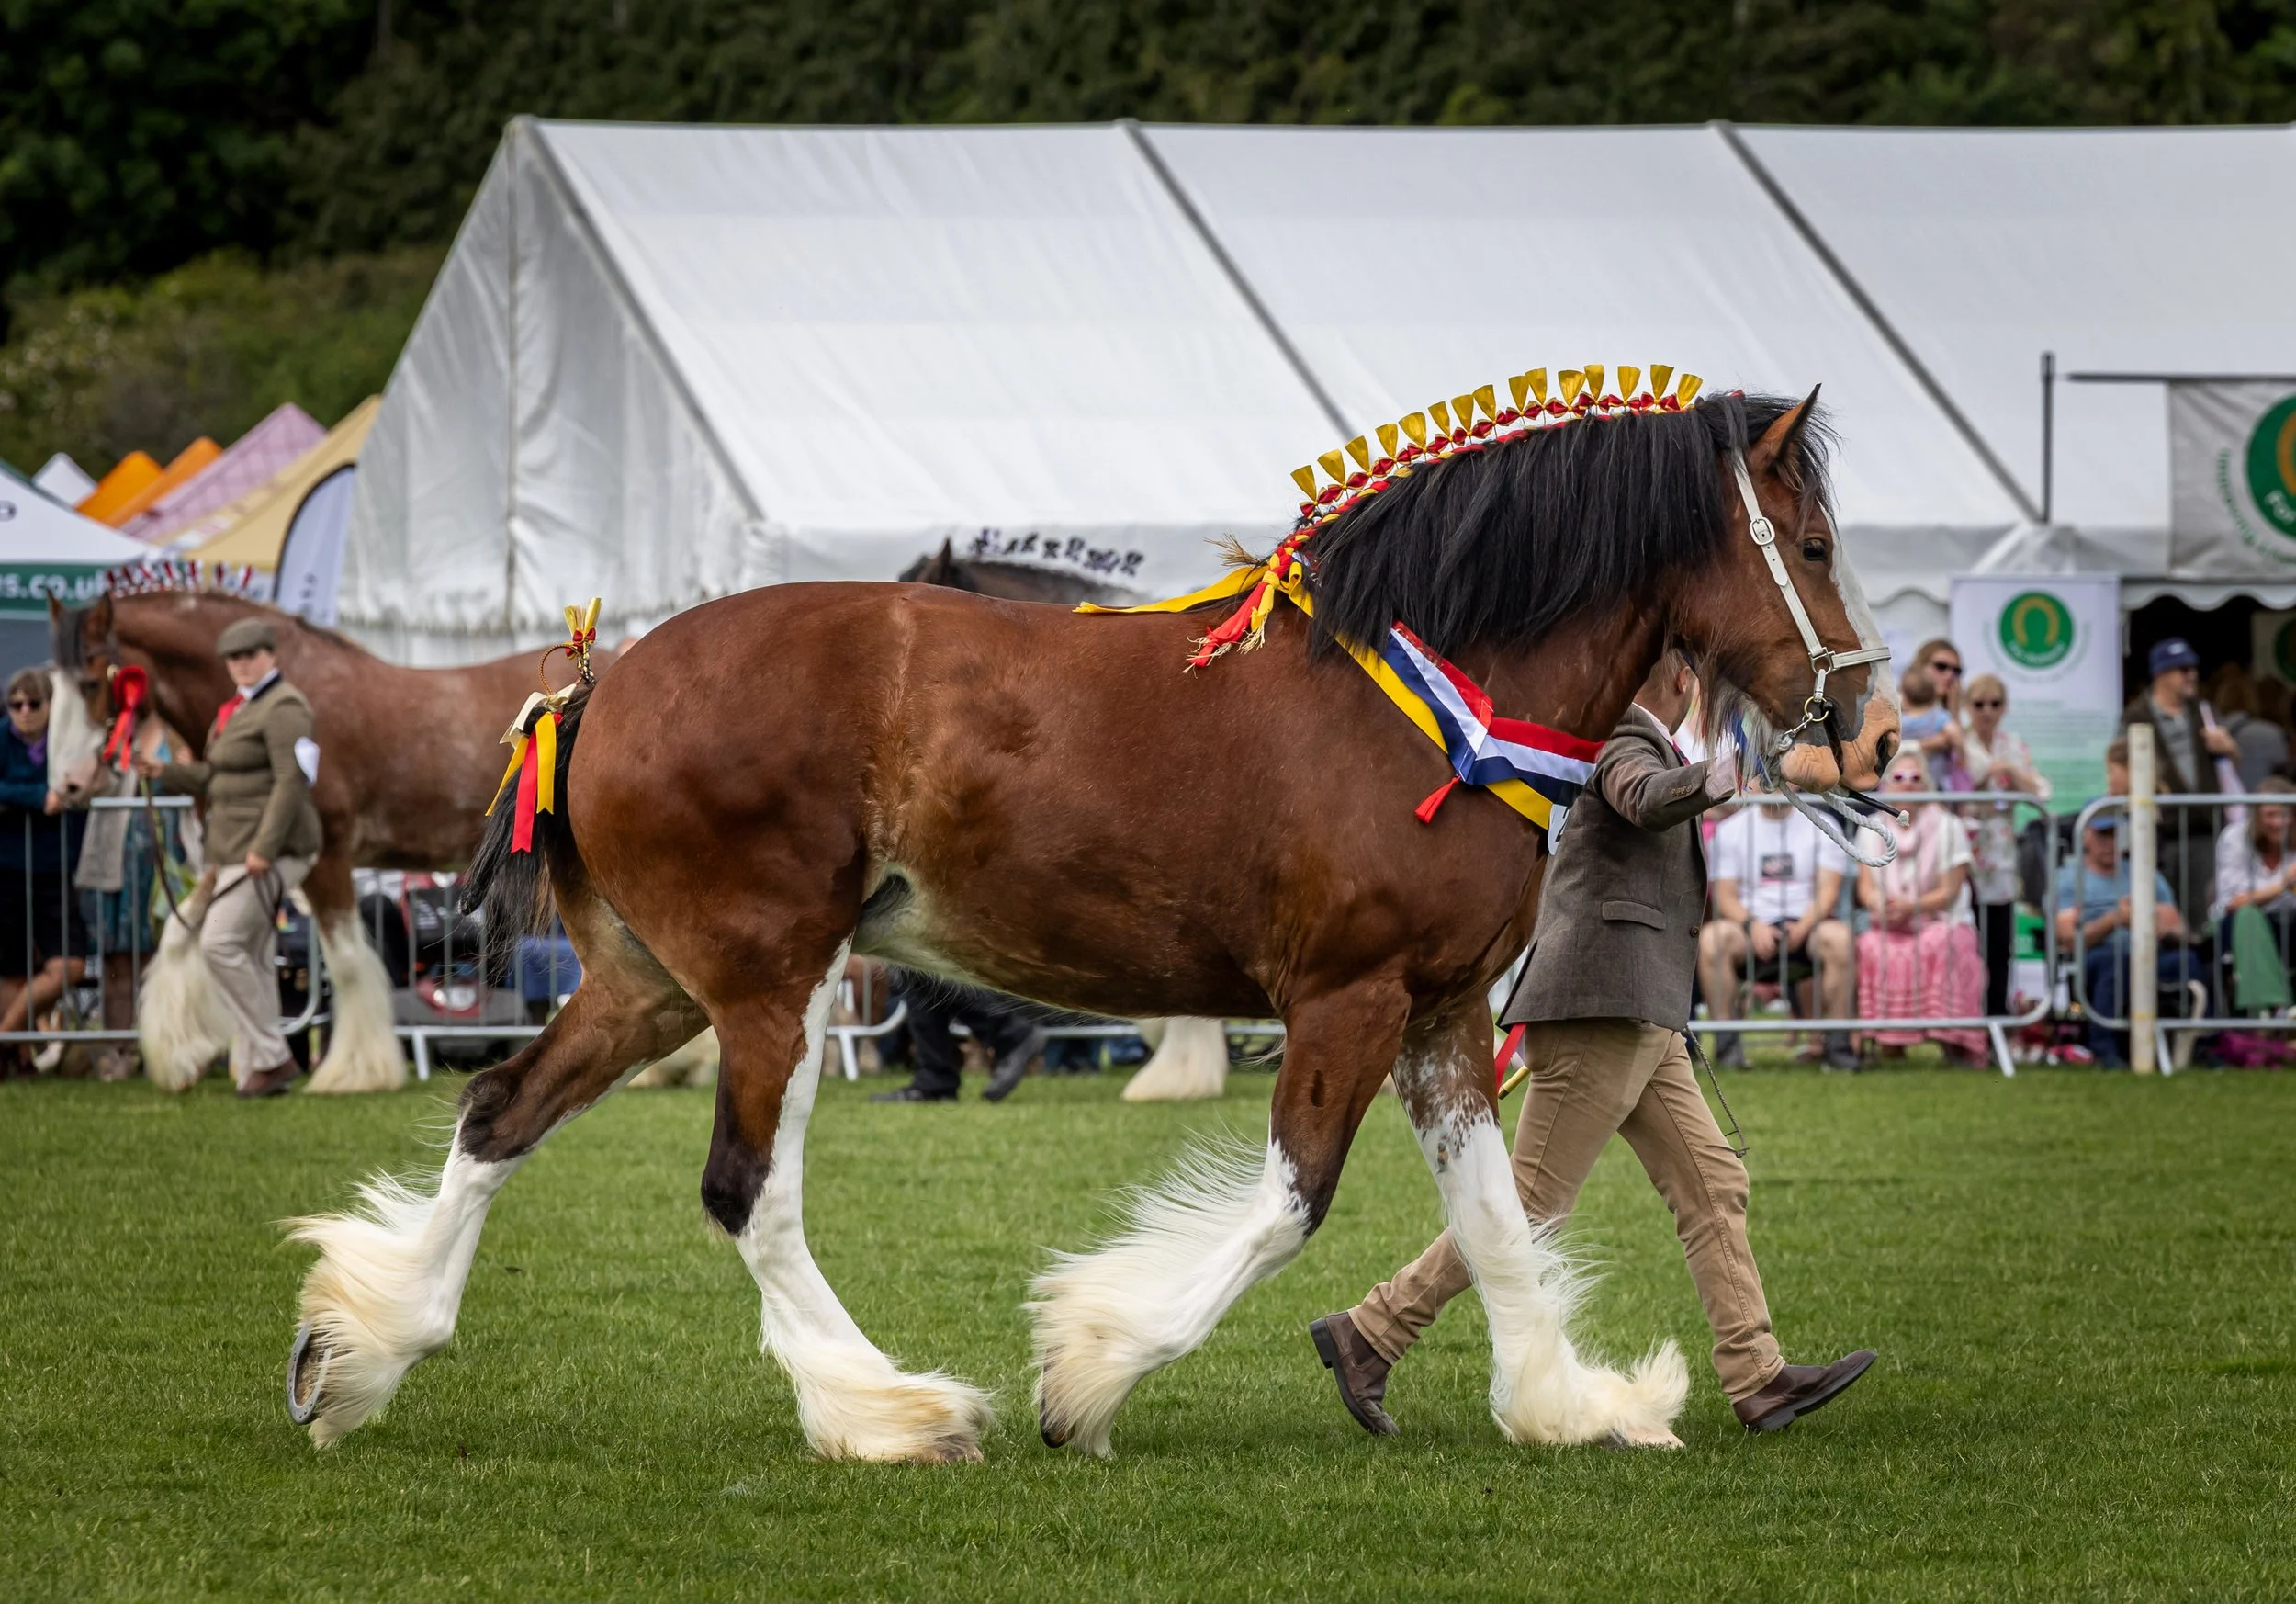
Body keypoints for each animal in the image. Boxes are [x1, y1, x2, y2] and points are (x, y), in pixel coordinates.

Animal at [283, 384, 1897, 1462]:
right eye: (1813, 541)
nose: (1873, 735)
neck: (1427, 700)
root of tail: (599, 681)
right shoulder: (1349, 999)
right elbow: (1290, 1203)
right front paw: (1089, 1370)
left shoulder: (1441, 1013)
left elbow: (1498, 1218)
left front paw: (1567, 1401)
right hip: (767, 982)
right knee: (748, 1190)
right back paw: (889, 1408)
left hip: (652, 982)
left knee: (499, 1109)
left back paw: (358, 1349)